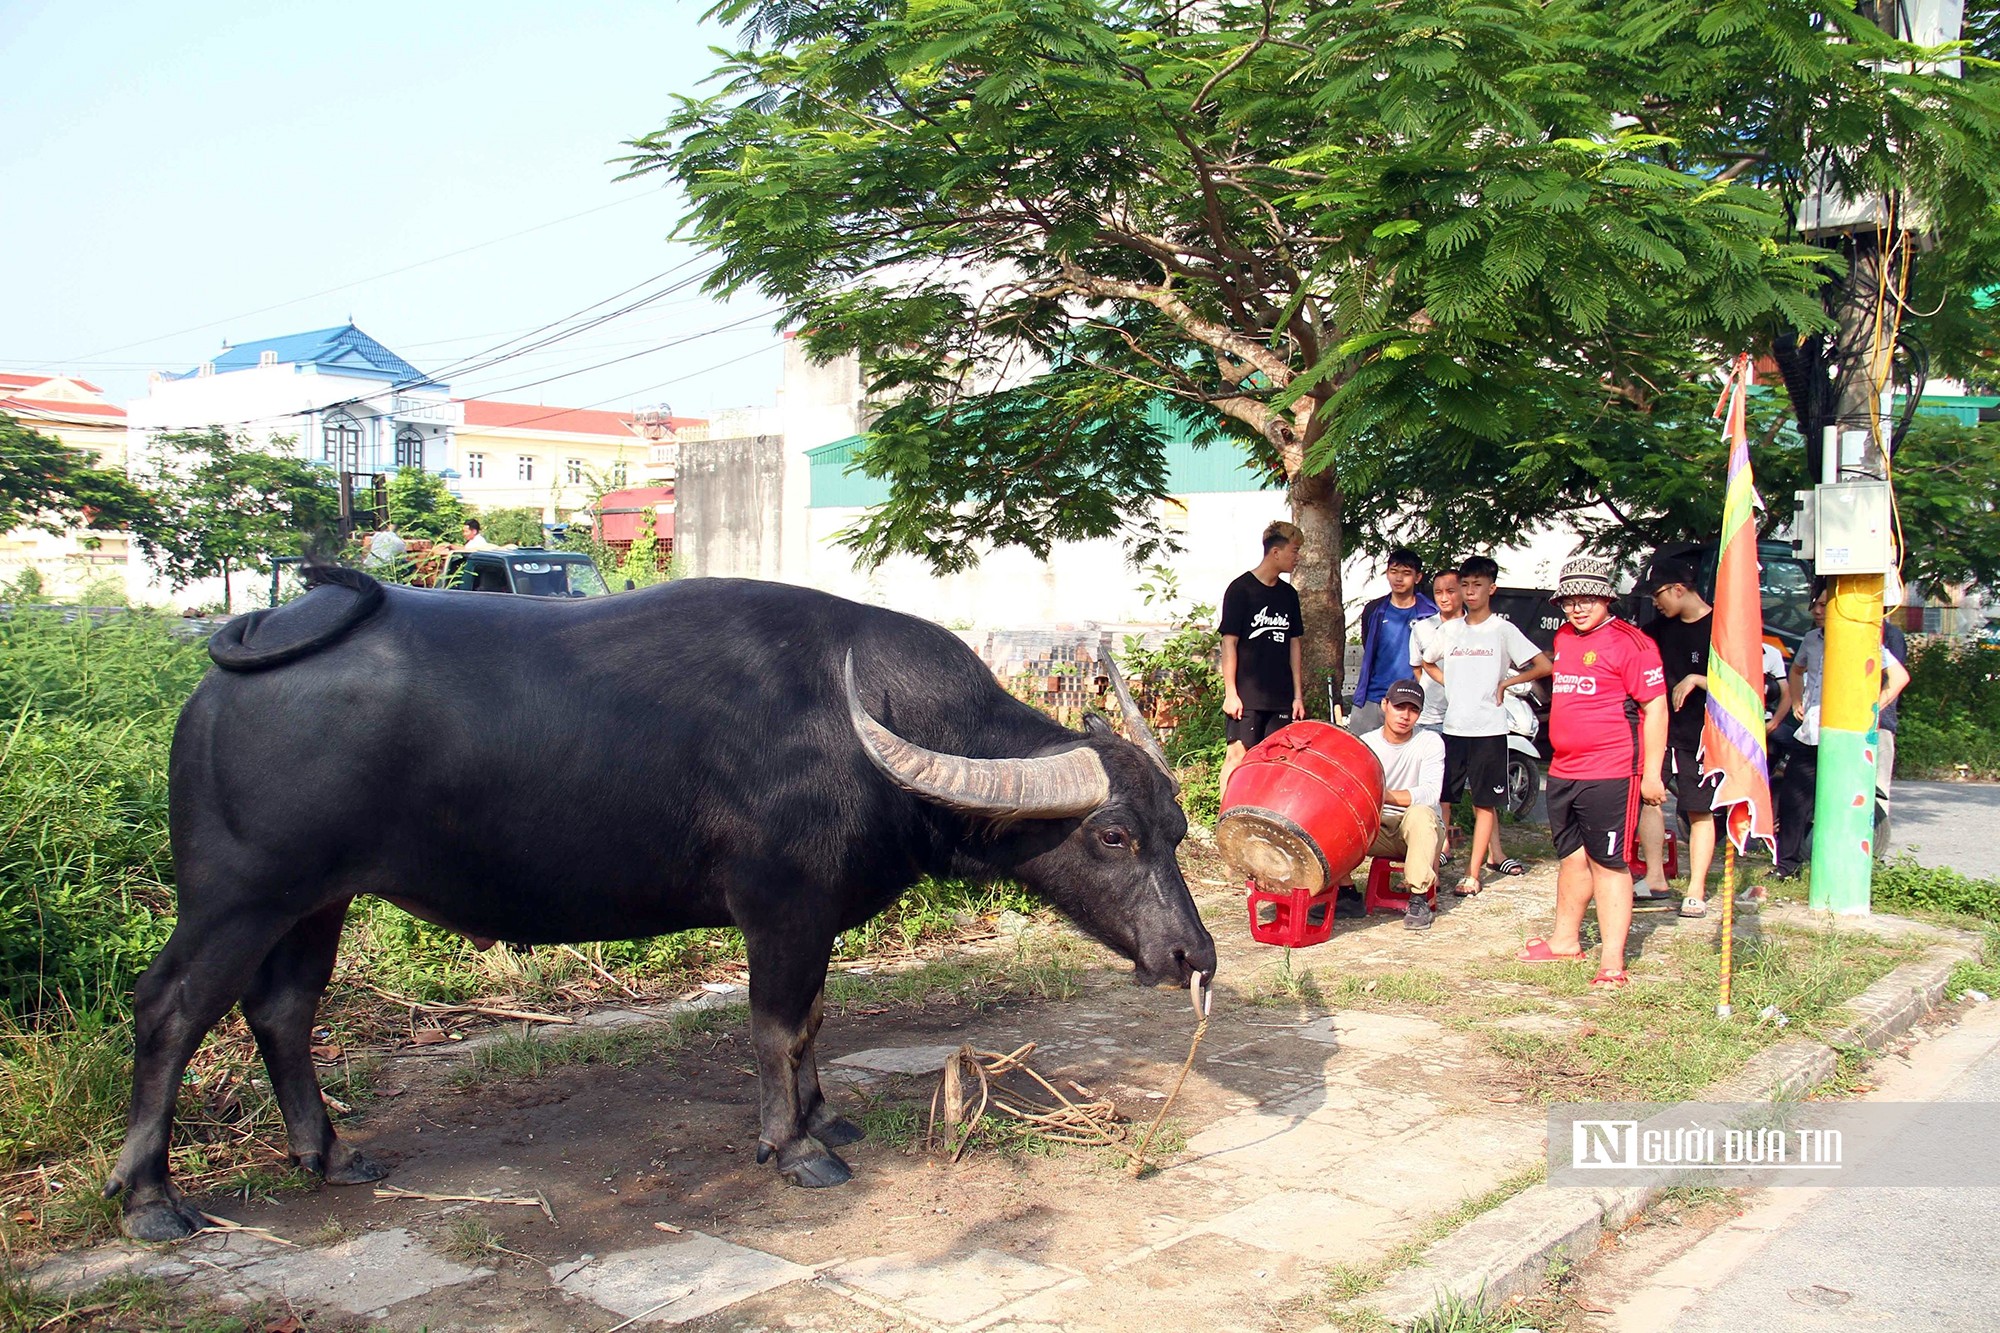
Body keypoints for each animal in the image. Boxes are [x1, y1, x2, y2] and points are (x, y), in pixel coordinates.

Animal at [105, 564, 1216, 1240]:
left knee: (282, 1010)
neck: (868, 733)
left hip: (318, 899)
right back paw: (150, 1196)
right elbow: (778, 1023)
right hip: (237, 894)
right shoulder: (780, 908)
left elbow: (817, 1018)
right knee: (171, 1008)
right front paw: (793, 1145)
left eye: (1176, 829)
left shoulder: (812, 918)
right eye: (1111, 835)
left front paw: (825, 1115)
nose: (1192, 956)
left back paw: (328, 1153)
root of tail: (240, 657)